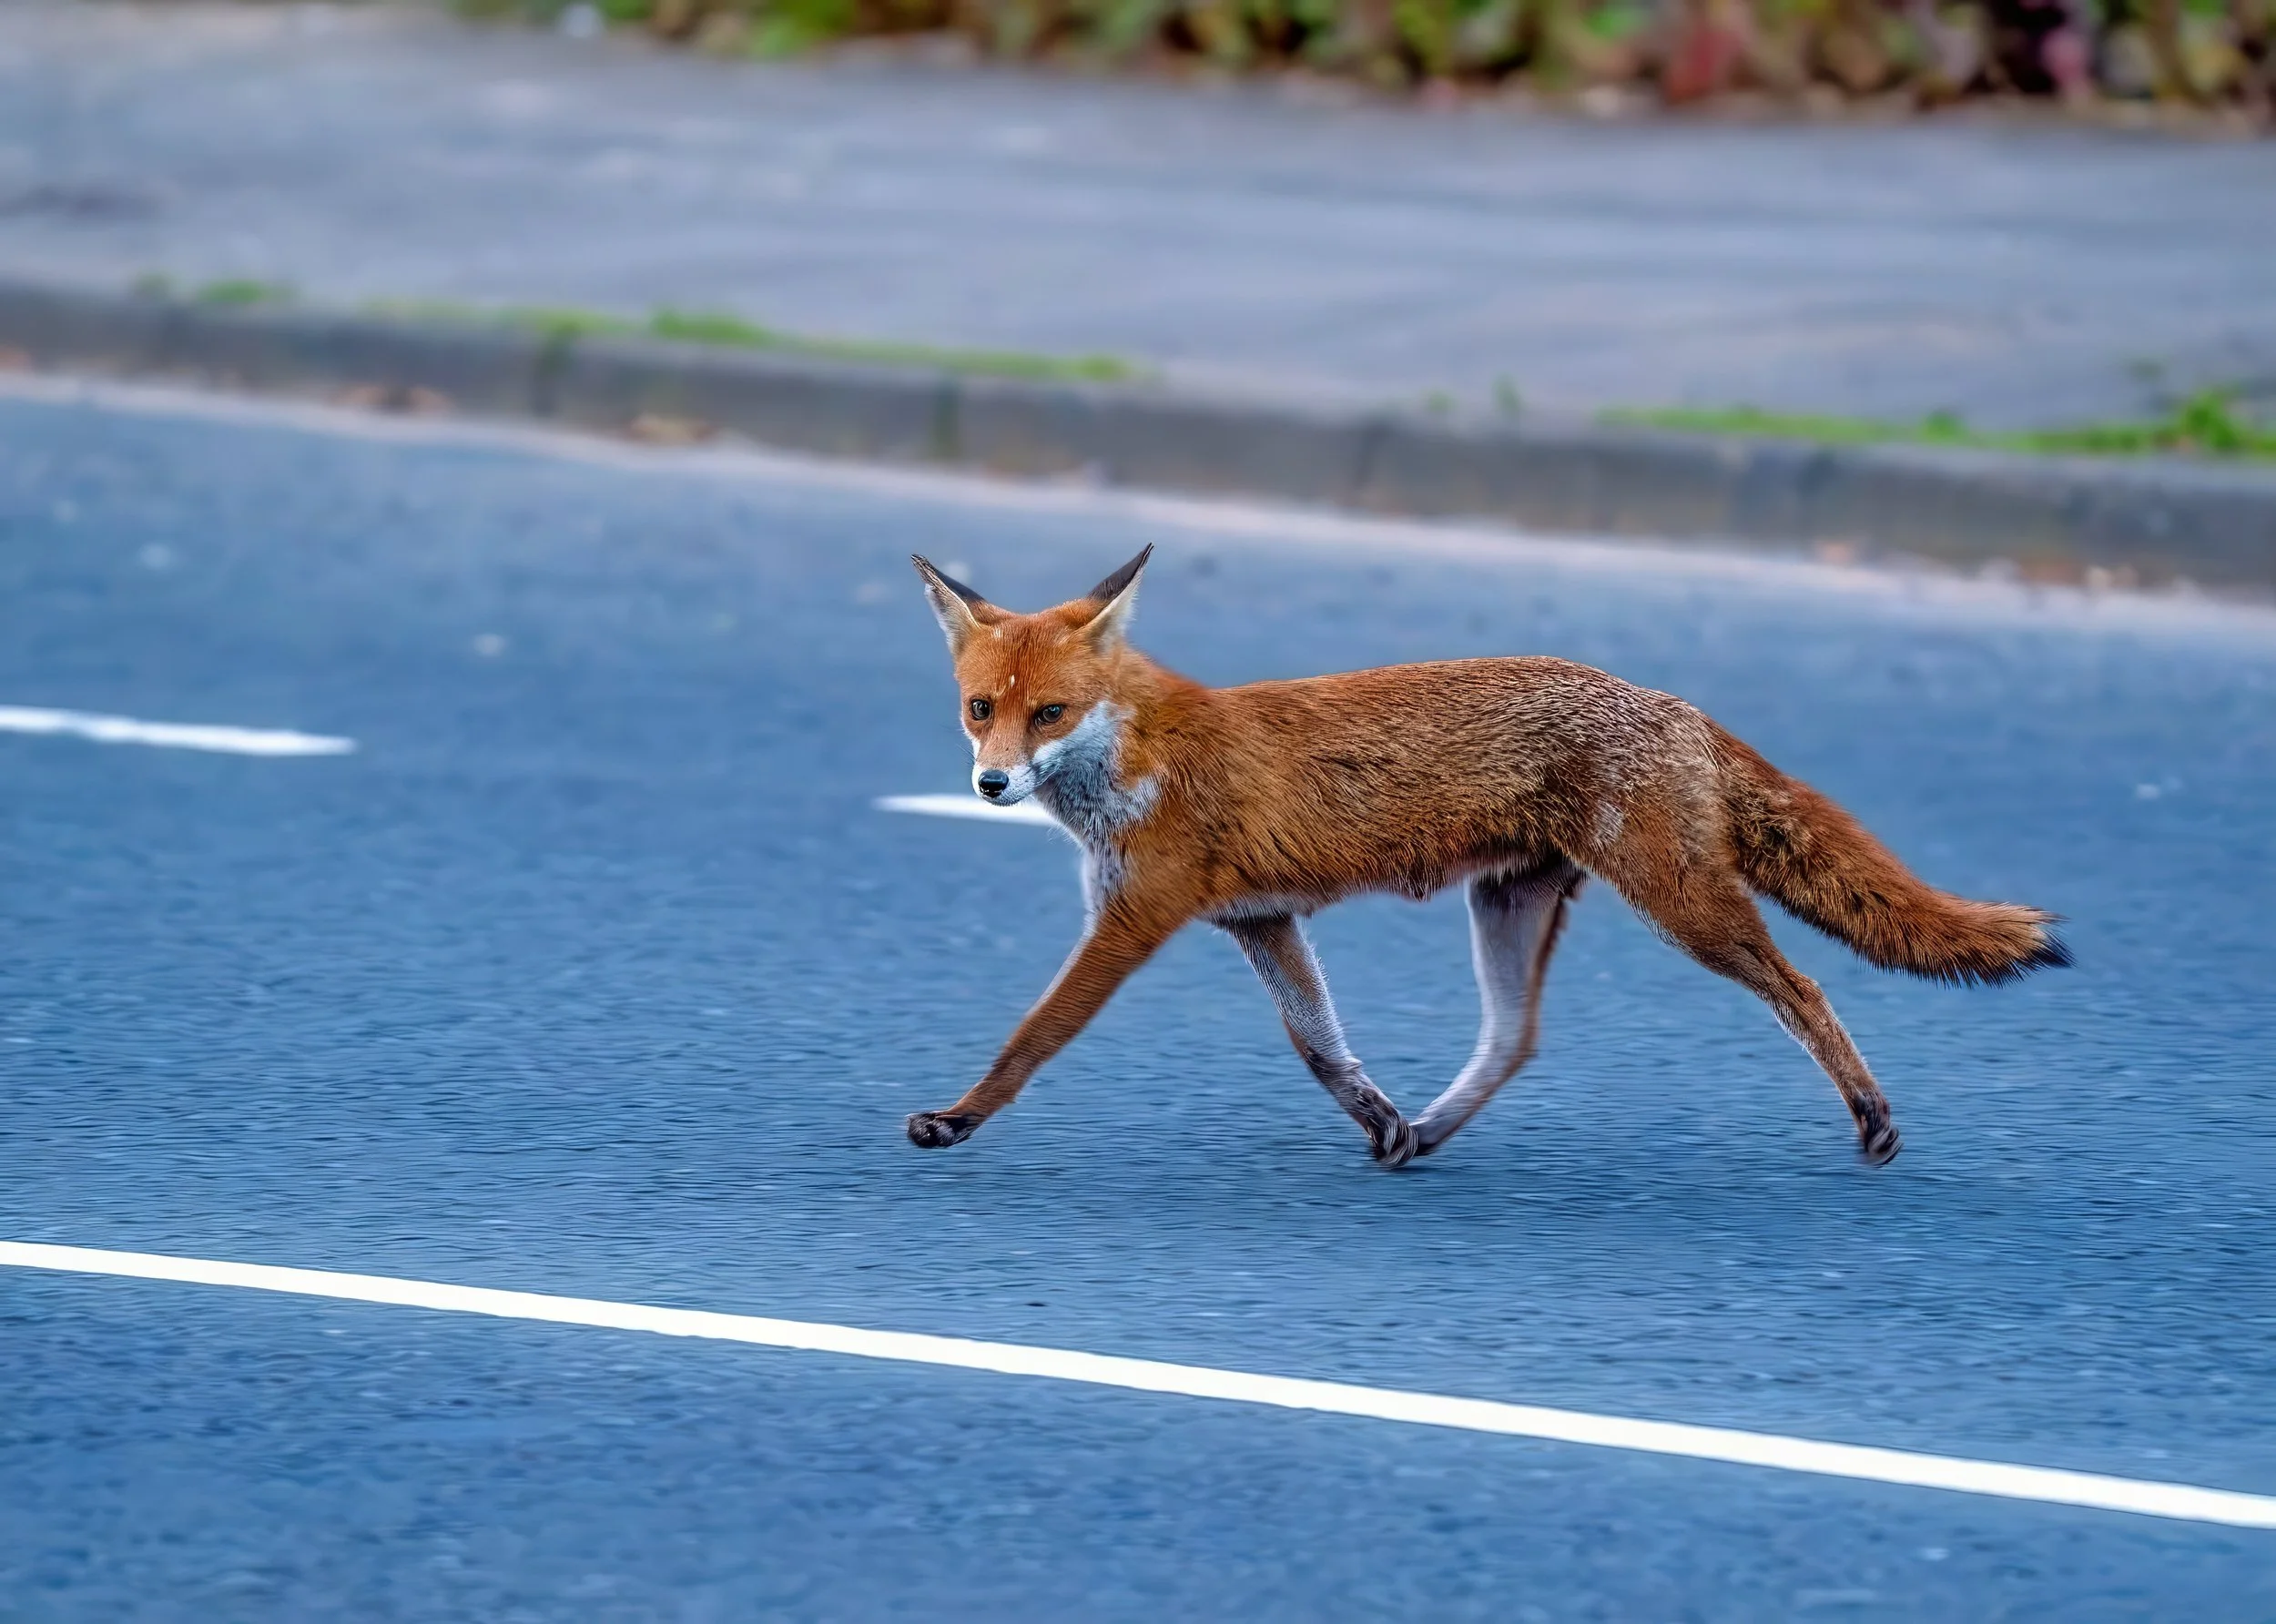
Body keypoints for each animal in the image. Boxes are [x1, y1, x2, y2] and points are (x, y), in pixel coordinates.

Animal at [904, 544, 2068, 1169]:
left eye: (1049, 713)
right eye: (980, 708)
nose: (990, 786)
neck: (1137, 755)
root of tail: (1666, 699)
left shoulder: (1135, 917)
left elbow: (1030, 1039)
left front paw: (957, 1118)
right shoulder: (1260, 919)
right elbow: (1320, 1047)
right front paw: (1378, 1116)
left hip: (1680, 903)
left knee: (1804, 984)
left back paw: (1872, 1115)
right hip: (1510, 905)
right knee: (1514, 1039)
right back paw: (1424, 1129)